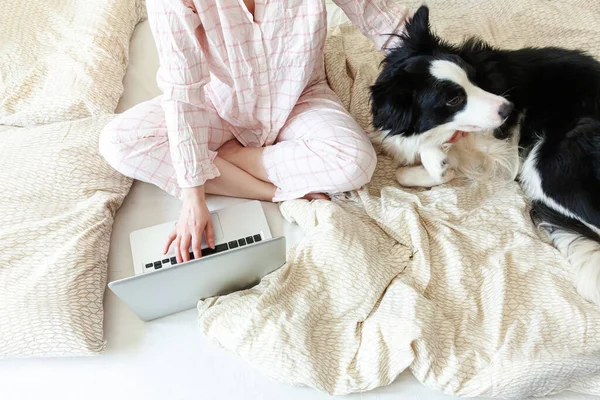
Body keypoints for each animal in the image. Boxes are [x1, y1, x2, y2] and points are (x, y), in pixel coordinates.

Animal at [372, 4, 600, 306]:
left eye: (472, 77)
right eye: (454, 99)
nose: (509, 108)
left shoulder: (498, 147)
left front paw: (434, 160)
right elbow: (412, 170)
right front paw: (439, 168)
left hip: (550, 167)